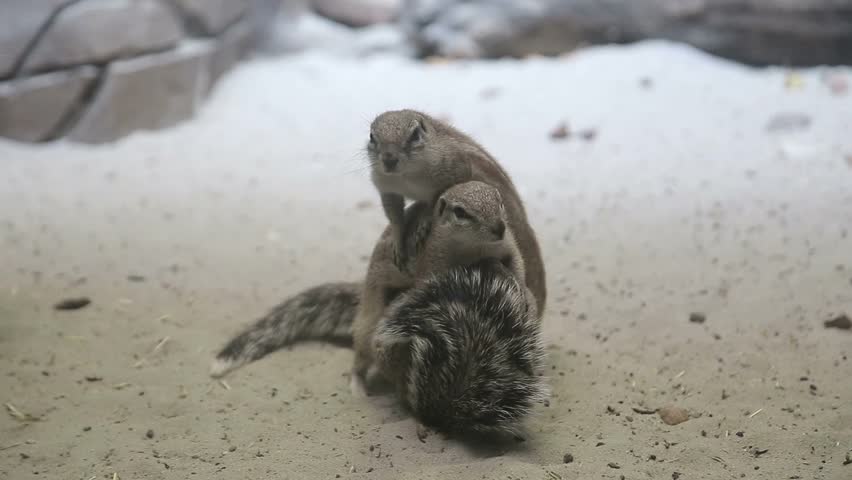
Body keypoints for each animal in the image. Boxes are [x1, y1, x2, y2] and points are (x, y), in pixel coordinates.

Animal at [367, 109, 546, 315]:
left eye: (414, 135)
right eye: (372, 137)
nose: (389, 159)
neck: (406, 177)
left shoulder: (455, 168)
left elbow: (438, 196)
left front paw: (424, 219)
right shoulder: (385, 185)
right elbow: (394, 215)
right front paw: (398, 241)